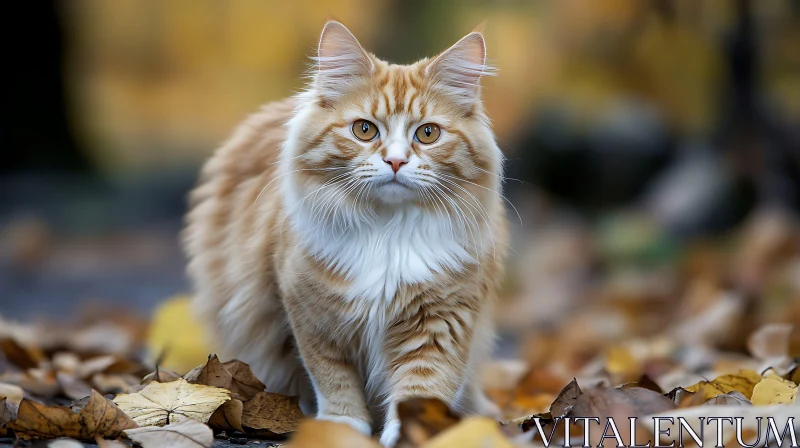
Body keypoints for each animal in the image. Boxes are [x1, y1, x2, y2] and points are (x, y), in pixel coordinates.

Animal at [183, 20, 506, 444]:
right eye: (364, 130)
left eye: (428, 134)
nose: (396, 161)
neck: (388, 232)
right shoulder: (313, 318)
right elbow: (334, 379)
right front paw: (340, 428)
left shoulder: (443, 319)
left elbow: (421, 386)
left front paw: (410, 433)